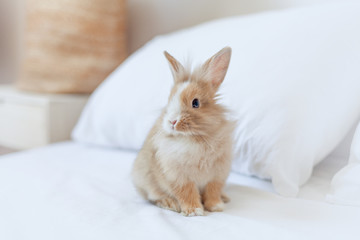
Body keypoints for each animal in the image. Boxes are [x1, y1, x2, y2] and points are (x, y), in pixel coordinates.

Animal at [131, 46, 235, 216]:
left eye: (195, 103)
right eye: (169, 100)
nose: (172, 121)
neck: (194, 138)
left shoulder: (217, 175)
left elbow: (212, 190)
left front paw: (216, 206)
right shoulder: (179, 177)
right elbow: (187, 192)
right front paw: (194, 211)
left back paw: (225, 197)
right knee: (154, 196)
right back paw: (169, 203)